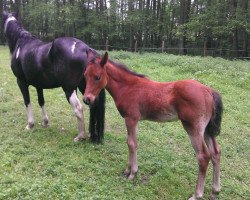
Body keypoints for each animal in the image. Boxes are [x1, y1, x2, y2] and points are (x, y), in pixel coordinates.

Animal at [1, 11, 104, 142]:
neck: (21, 43)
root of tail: (86, 49)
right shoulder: (38, 84)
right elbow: (41, 101)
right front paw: (45, 122)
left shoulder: (21, 82)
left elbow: (27, 101)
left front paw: (30, 124)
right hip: (85, 87)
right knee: (93, 106)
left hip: (69, 89)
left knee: (78, 108)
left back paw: (80, 136)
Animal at [83, 52, 223, 200]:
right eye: (85, 75)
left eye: (97, 77)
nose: (87, 99)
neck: (128, 87)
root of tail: (208, 90)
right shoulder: (131, 120)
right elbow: (130, 143)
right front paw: (127, 170)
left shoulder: (131, 119)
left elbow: (132, 144)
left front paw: (132, 173)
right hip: (207, 130)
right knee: (216, 152)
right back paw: (215, 191)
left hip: (193, 128)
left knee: (203, 156)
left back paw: (197, 194)